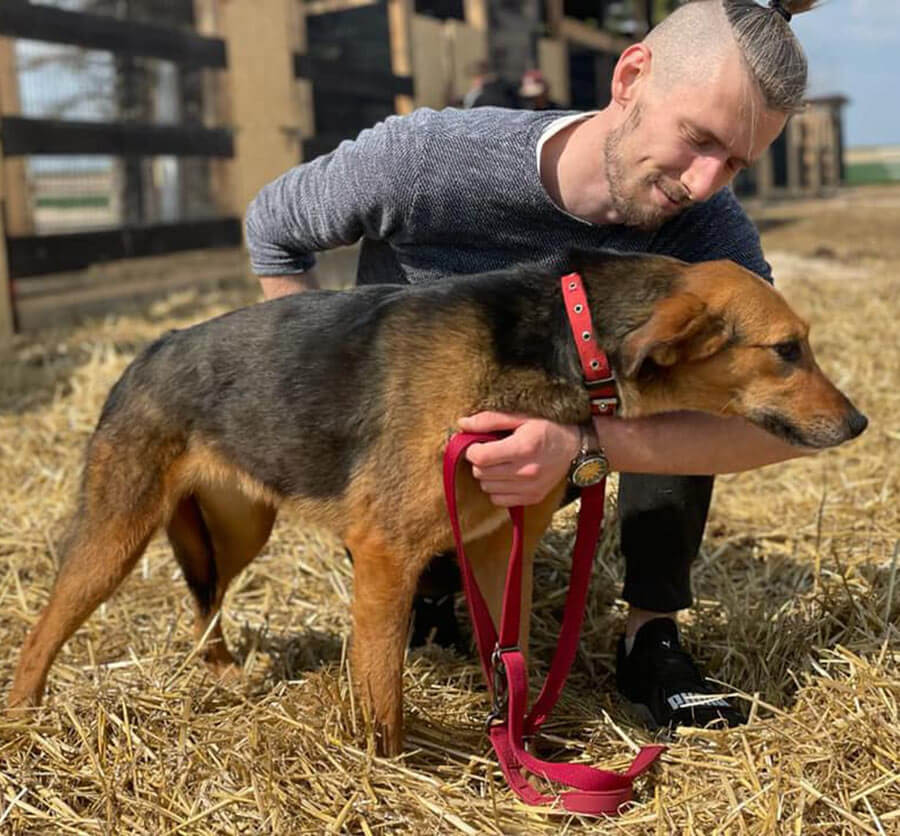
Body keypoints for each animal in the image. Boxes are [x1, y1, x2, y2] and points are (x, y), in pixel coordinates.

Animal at [7, 251, 864, 756]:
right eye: (787, 351)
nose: (858, 422)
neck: (568, 339)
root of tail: (144, 353)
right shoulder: (387, 553)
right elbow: (383, 692)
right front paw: (384, 769)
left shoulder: (493, 544)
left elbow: (505, 654)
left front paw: (517, 743)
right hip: (115, 537)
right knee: (45, 628)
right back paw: (23, 714)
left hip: (242, 523)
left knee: (205, 600)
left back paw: (221, 673)